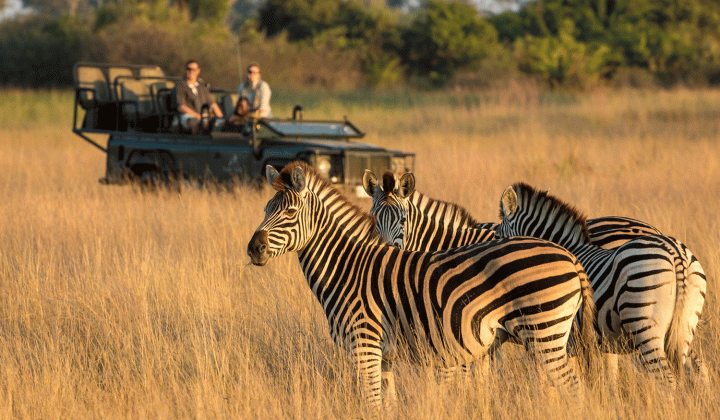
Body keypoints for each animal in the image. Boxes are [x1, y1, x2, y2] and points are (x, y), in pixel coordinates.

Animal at [247, 162, 598, 412]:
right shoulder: (384, 356)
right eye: (265, 210)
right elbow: (386, 406)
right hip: (552, 336)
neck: (348, 267)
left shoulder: (364, 346)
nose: (253, 249)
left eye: (290, 212)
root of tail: (570, 256)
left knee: (574, 391)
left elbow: (371, 406)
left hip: (544, 334)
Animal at [495, 182, 707, 386]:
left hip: (645, 323)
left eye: (496, 238)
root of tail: (676, 253)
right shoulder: (599, 343)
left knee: (666, 378)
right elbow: (606, 379)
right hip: (685, 325)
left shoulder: (569, 339)